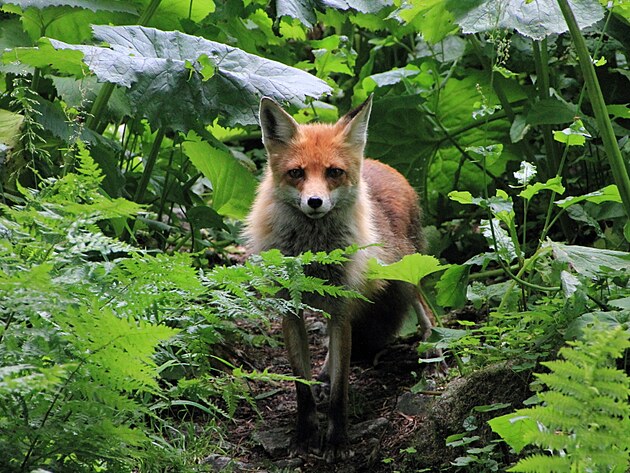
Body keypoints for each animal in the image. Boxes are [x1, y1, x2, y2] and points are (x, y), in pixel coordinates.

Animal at [243, 96, 440, 460]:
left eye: (333, 172)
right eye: (296, 173)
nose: (315, 202)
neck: (314, 254)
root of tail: (383, 164)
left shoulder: (342, 308)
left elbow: (340, 390)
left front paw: (336, 441)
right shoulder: (291, 311)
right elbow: (301, 385)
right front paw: (305, 434)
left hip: (406, 272)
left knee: (426, 310)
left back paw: (435, 349)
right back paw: (323, 372)